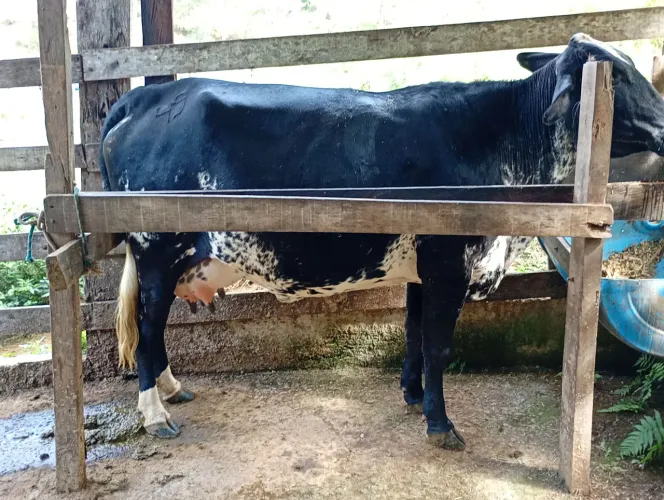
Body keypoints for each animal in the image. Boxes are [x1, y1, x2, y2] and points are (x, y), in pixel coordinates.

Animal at [99, 33, 664, 447]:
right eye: (618, 77)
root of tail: (145, 94)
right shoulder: (449, 263)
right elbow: (438, 344)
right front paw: (441, 424)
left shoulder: (422, 266)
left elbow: (413, 334)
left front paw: (413, 396)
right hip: (156, 249)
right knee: (147, 330)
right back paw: (155, 414)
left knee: (154, 330)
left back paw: (172, 389)